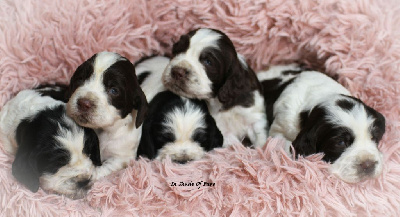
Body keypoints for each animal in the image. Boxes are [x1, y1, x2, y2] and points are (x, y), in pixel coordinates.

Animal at [65, 51, 148, 180]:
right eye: (80, 79)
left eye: (114, 90)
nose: (84, 103)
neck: (102, 130)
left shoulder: (121, 157)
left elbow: (102, 169)